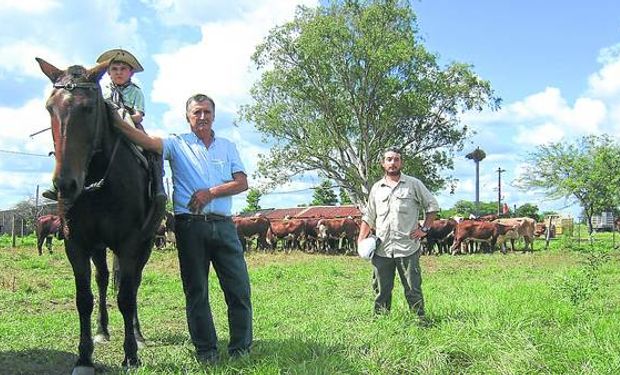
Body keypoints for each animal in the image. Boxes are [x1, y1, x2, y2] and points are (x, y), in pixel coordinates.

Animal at [35, 57, 163, 374]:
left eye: (89, 108)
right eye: (50, 107)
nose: (66, 185)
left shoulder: (129, 244)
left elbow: (127, 297)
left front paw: (131, 354)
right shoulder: (76, 244)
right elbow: (84, 298)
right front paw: (84, 357)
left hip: (143, 246)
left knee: (133, 283)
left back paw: (138, 334)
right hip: (99, 247)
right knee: (103, 279)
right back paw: (103, 330)